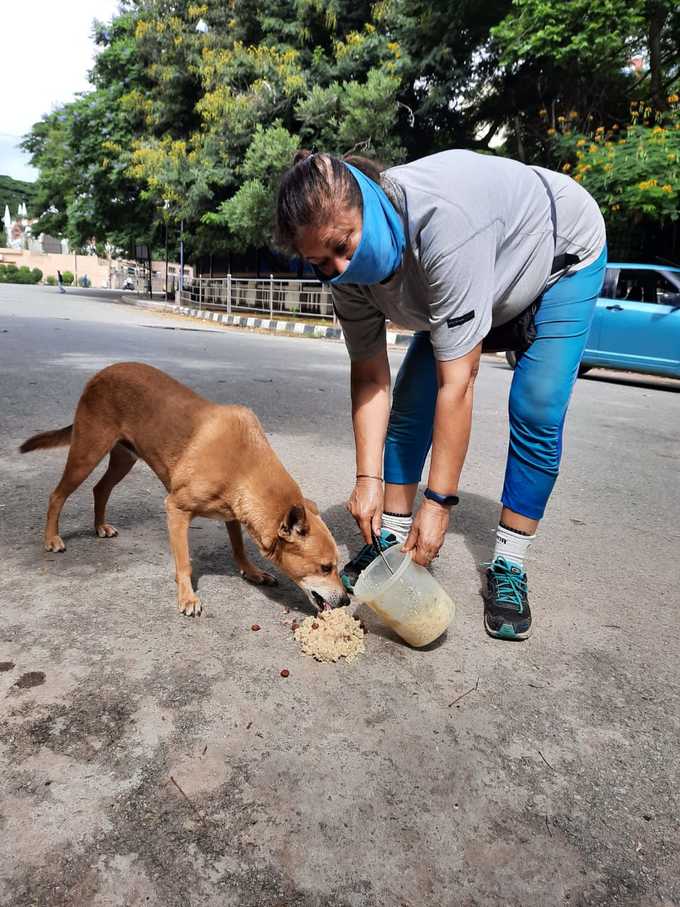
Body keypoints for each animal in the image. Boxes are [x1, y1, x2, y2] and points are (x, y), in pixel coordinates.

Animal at [21, 362, 350, 616]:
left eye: (337, 566)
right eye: (325, 568)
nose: (347, 600)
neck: (245, 466)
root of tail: (100, 373)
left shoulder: (232, 514)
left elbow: (239, 547)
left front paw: (252, 572)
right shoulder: (176, 509)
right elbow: (185, 564)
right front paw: (188, 597)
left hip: (123, 458)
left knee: (100, 489)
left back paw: (100, 526)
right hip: (86, 452)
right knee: (57, 494)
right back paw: (52, 539)